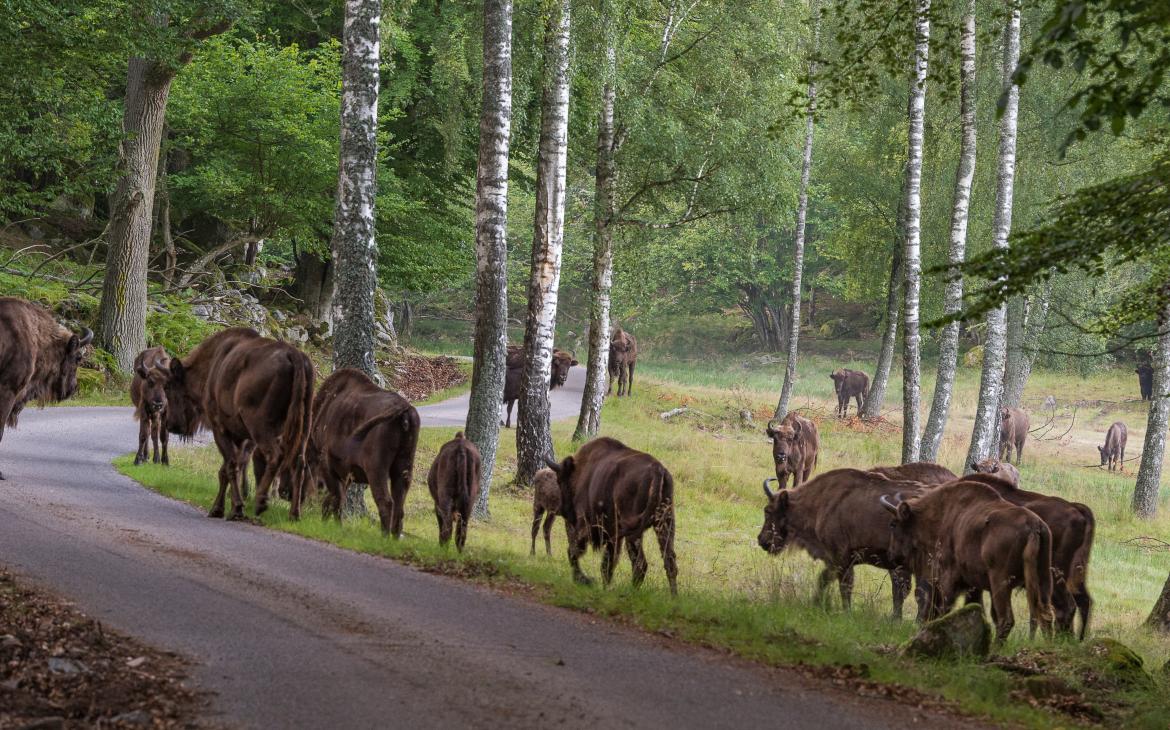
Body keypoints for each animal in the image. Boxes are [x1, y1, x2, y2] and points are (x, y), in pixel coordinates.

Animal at [165, 328, 314, 521]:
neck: (211, 367)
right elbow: (229, 468)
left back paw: (260, 502)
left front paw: (234, 508)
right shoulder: (241, 436)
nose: (170, 425)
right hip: (303, 428)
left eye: (168, 387)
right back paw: (294, 514)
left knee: (275, 455)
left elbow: (231, 465)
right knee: (299, 462)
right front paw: (221, 508)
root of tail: (294, 355)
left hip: (261, 428)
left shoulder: (221, 428)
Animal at [310, 368, 421, 537]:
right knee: (399, 507)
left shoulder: (329, 465)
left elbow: (336, 498)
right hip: (404, 467)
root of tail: (405, 410)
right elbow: (338, 499)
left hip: (376, 469)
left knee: (386, 502)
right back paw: (394, 538)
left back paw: (384, 537)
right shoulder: (345, 475)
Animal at [545, 437, 678, 595]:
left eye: (560, 480)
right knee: (669, 562)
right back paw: (672, 597)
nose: (563, 511)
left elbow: (575, 552)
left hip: (633, 534)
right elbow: (606, 563)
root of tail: (658, 470)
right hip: (664, 525)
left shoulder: (588, 525)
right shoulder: (612, 536)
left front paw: (585, 580)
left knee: (640, 563)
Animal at [758, 468, 922, 617]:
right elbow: (824, 579)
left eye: (768, 510)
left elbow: (844, 586)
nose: (761, 540)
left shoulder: (841, 558)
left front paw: (845, 613)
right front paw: (817, 603)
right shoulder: (836, 561)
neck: (821, 502)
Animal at [882, 481, 1056, 641]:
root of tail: (1034, 526)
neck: (941, 516)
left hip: (1000, 583)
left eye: (893, 524)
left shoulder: (948, 578)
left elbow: (944, 608)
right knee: (1045, 615)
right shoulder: (974, 585)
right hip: (1042, 580)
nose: (891, 554)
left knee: (1006, 619)